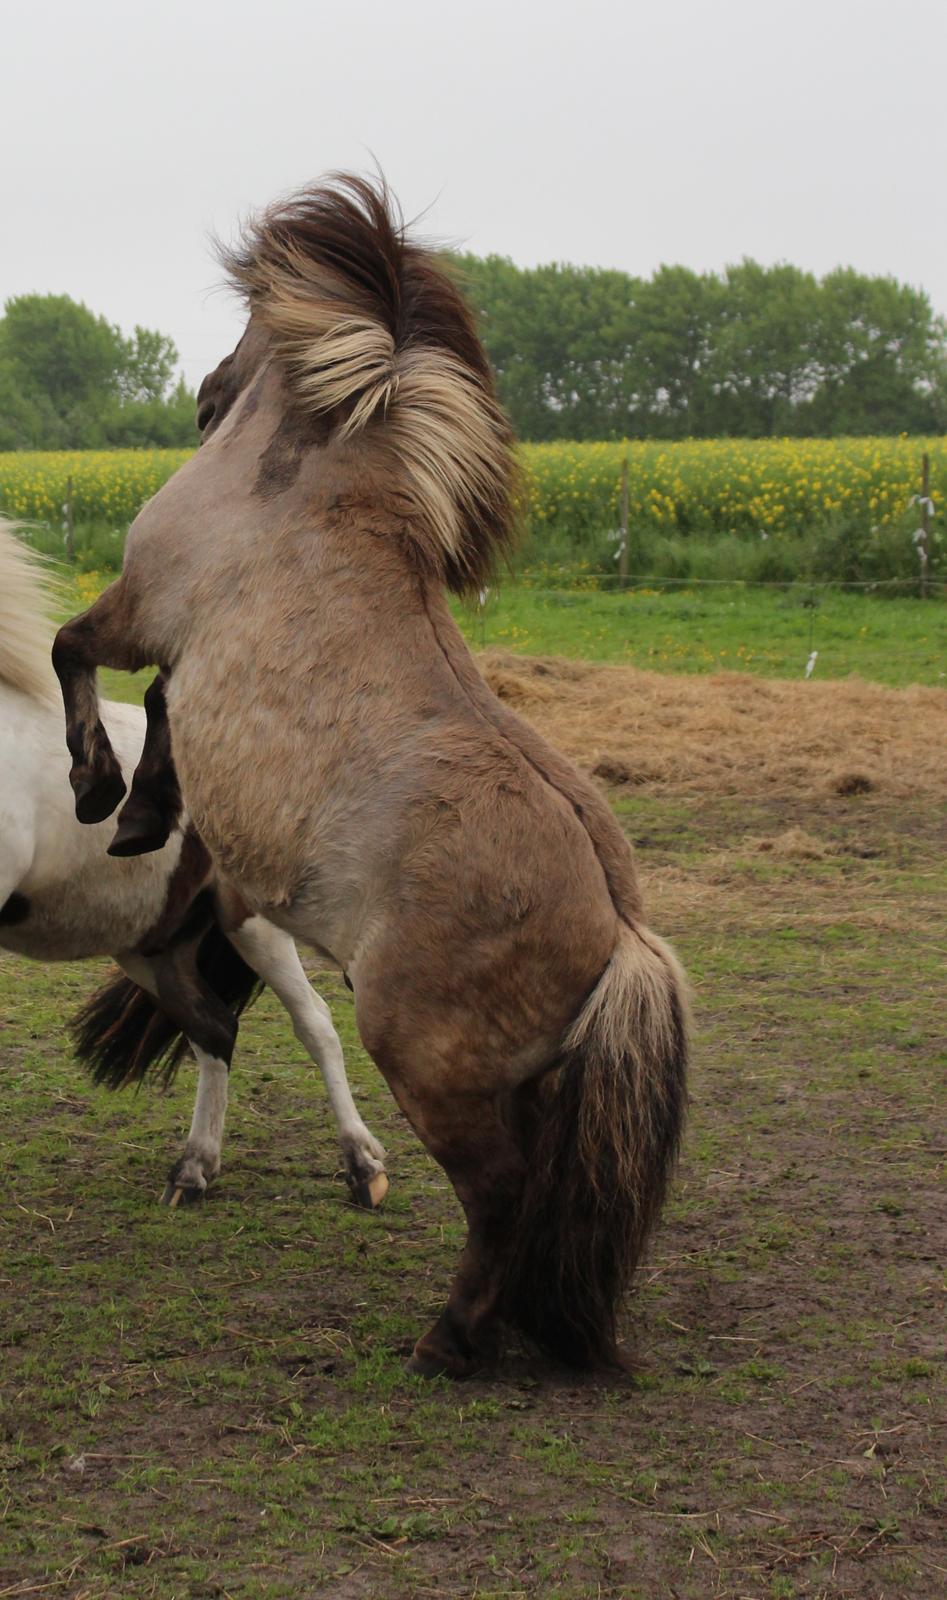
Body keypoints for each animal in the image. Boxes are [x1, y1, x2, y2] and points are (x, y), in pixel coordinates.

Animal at [0, 518, 387, 1203]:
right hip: (151, 945)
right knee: (214, 1029)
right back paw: (195, 1167)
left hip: (251, 926)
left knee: (315, 1025)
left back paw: (363, 1166)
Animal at [51, 172, 687, 1376]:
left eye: (248, 329)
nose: (202, 396)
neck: (304, 493)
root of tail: (619, 928)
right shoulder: (181, 655)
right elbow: (159, 712)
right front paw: (146, 808)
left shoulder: (142, 608)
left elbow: (78, 656)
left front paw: (104, 794)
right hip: (517, 1079)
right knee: (535, 1193)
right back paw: (510, 1325)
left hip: (425, 1057)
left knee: (498, 1194)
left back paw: (447, 1341)